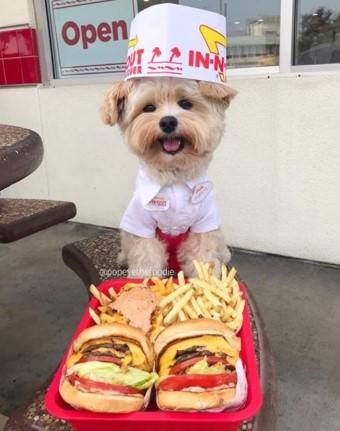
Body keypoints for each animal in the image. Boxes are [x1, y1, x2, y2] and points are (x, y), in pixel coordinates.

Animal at [101, 77, 236, 276]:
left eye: (186, 104)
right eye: (149, 108)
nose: (168, 122)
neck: (174, 178)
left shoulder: (204, 224)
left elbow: (202, 260)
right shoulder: (141, 226)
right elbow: (147, 261)